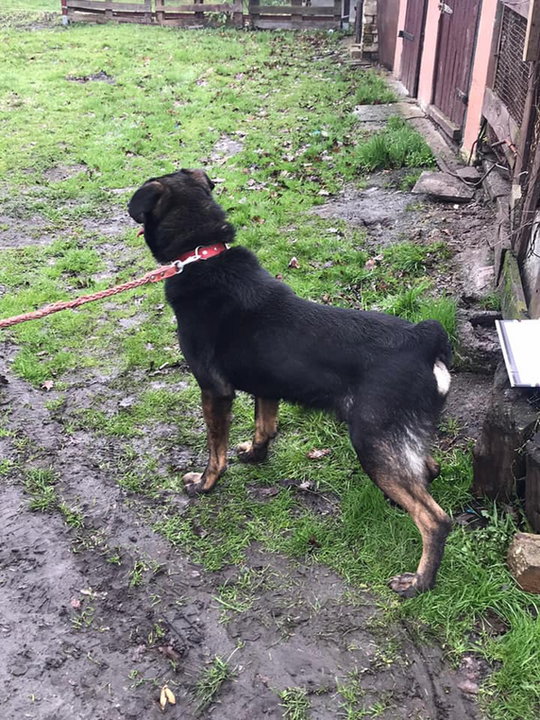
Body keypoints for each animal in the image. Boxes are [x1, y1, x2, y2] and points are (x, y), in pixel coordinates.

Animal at [129, 170, 454, 596]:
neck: (203, 253)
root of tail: (424, 338)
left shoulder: (214, 390)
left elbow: (215, 450)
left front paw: (204, 484)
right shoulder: (267, 385)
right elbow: (264, 428)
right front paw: (254, 455)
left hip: (372, 441)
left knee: (435, 519)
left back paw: (419, 582)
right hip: (399, 439)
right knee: (427, 470)